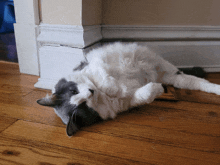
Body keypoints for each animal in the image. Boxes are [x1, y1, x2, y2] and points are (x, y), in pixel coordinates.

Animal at [37, 42, 219, 136]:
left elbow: (106, 81)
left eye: (74, 91)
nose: (90, 92)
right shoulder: (129, 101)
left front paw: (114, 88)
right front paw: (158, 89)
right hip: (175, 78)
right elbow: (145, 94)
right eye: (83, 106)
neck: (101, 96)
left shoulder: (94, 67)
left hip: (164, 66)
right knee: (198, 83)